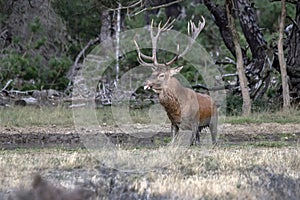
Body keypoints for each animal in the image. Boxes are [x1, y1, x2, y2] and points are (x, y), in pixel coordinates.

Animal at [135, 17, 217, 145]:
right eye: (153, 73)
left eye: (162, 75)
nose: (146, 82)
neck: (177, 109)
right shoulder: (173, 123)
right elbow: (173, 141)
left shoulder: (194, 123)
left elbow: (190, 143)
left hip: (214, 121)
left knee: (214, 139)